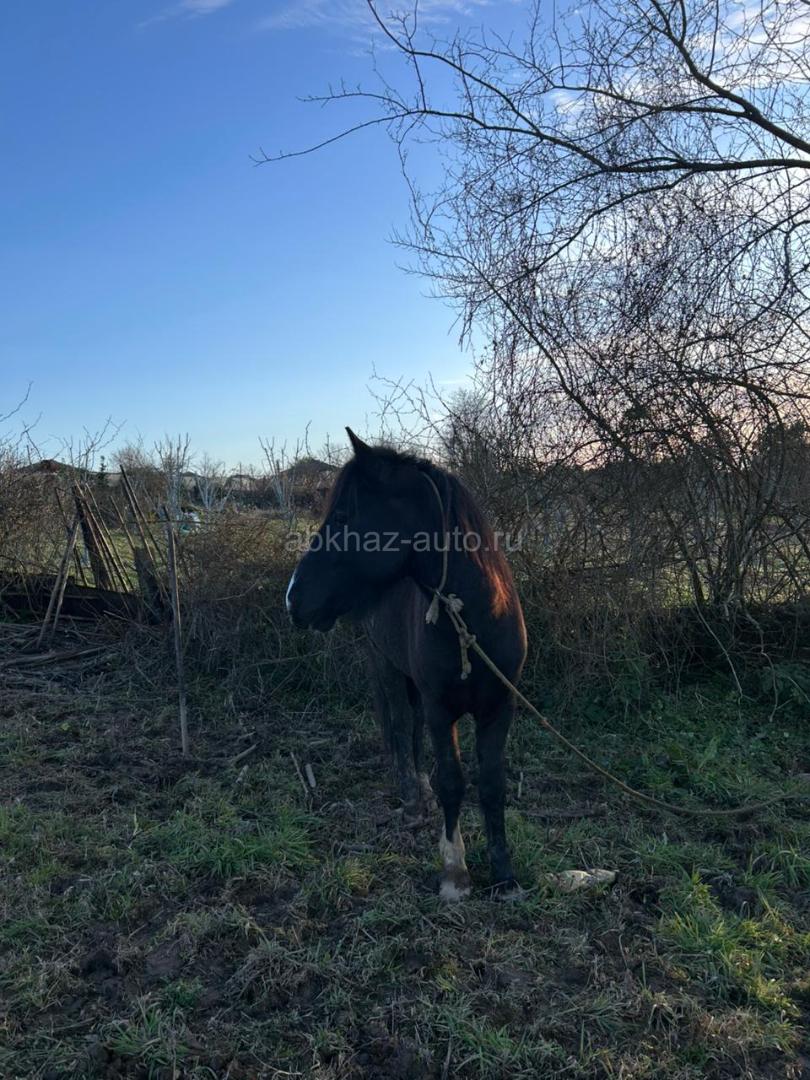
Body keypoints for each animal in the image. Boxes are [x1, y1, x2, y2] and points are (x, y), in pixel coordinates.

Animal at [286, 429, 527, 899]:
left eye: (342, 515)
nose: (292, 598)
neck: (474, 621)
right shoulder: (440, 709)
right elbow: (452, 780)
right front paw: (455, 872)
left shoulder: (499, 708)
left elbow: (492, 784)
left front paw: (505, 875)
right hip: (387, 669)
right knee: (399, 729)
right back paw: (413, 800)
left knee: (410, 732)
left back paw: (421, 795)